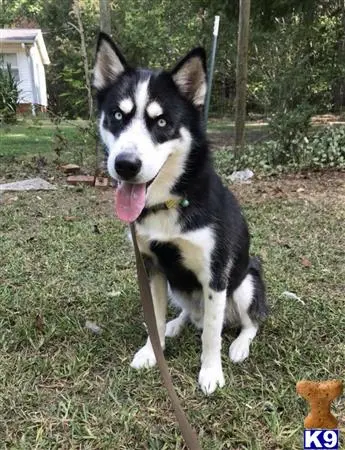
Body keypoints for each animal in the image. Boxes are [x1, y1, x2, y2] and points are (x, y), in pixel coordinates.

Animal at [92, 33, 268, 394]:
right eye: (116, 116)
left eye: (161, 122)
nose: (125, 165)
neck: (170, 201)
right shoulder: (152, 267)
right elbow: (154, 319)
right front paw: (152, 351)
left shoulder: (215, 275)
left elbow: (212, 336)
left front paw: (211, 372)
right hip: (178, 287)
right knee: (192, 315)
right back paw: (178, 324)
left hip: (245, 284)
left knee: (247, 323)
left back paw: (240, 345)